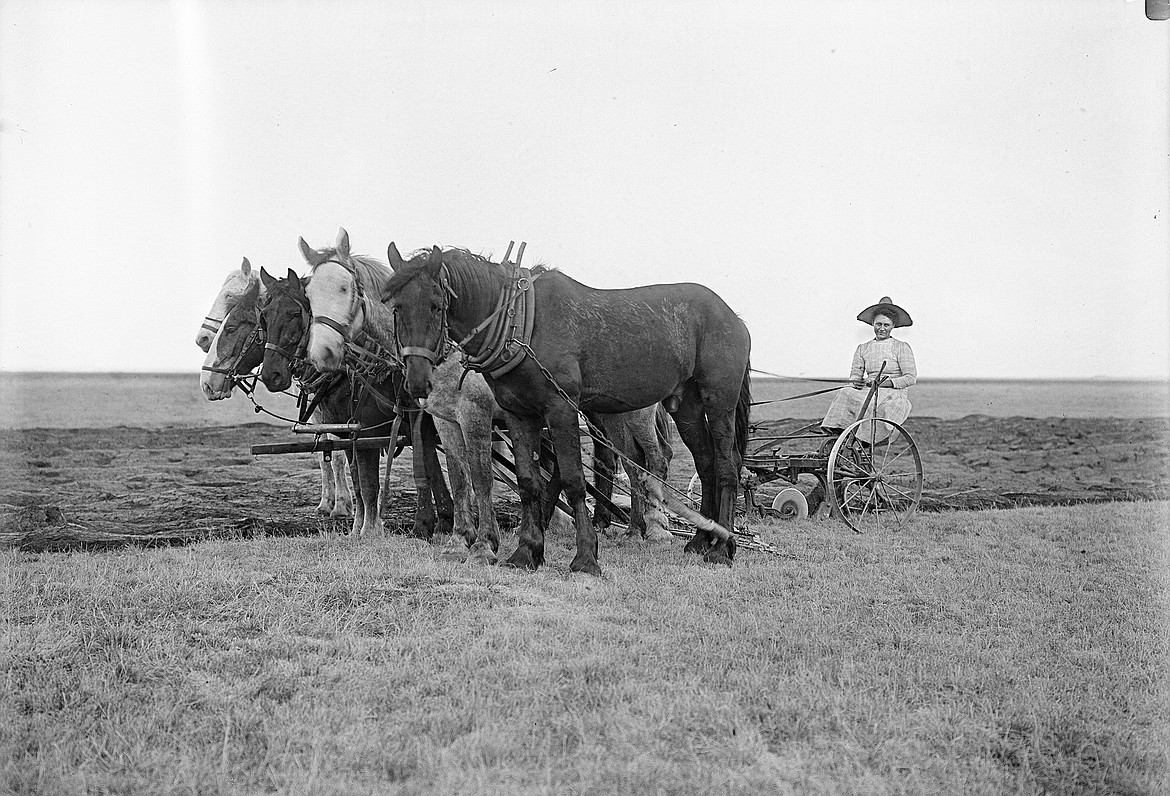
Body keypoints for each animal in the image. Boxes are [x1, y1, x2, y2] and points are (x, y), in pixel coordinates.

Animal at [379, 245, 753, 575]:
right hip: (684, 405)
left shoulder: (557, 409)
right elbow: (527, 481)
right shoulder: (518, 414)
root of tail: (733, 317)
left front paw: (585, 557)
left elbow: (572, 480)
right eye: (396, 308)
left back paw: (721, 548)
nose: (417, 381)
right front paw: (526, 553)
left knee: (724, 465)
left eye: (435, 306)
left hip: (716, 402)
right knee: (704, 463)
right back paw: (700, 540)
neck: (522, 323)